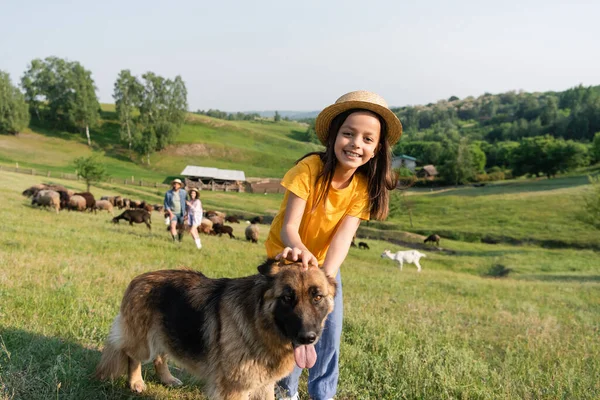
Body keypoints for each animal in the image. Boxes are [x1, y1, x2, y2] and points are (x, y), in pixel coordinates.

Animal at [95, 258, 338, 398]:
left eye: (317, 297)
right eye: (287, 298)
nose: (308, 338)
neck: (259, 323)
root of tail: (139, 278)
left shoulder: (263, 385)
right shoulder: (234, 389)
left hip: (168, 332)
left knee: (161, 355)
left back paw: (167, 379)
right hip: (144, 342)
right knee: (132, 354)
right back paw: (136, 382)